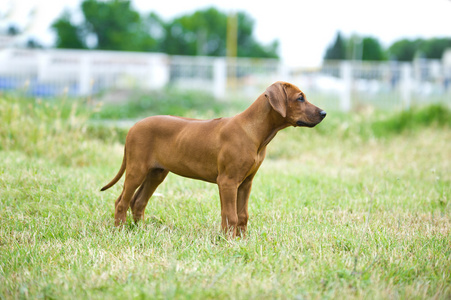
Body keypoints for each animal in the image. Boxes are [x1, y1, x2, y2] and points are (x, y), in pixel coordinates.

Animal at [101, 81, 326, 237]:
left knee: (138, 202)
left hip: (156, 173)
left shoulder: (246, 183)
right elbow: (231, 215)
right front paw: (229, 241)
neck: (254, 131)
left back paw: (141, 230)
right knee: (121, 201)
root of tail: (133, 126)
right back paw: (120, 231)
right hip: (137, 169)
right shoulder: (227, 182)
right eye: (300, 98)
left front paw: (241, 240)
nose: (324, 113)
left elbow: (242, 215)